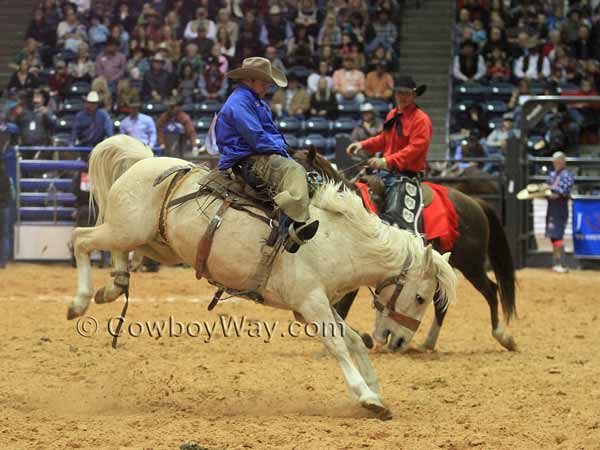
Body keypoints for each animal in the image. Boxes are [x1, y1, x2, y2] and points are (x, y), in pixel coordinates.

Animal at [68, 135, 458, 420]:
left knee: (115, 252)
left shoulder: (318, 304)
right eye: (421, 297)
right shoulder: (310, 303)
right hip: (127, 230)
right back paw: (80, 301)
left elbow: (353, 341)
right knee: (80, 239)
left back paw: (113, 286)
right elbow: (336, 344)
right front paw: (366, 396)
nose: (399, 340)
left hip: (152, 242)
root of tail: (146, 161)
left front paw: (376, 391)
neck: (338, 240)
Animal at [292, 149, 516, 352]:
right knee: (441, 302)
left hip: (472, 265)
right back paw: (428, 343)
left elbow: (342, 308)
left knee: (490, 290)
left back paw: (503, 336)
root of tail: (475, 202)